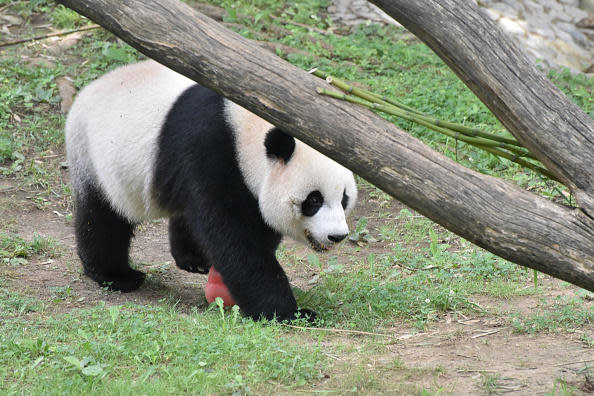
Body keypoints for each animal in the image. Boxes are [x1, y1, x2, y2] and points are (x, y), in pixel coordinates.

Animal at [67, 61, 358, 322]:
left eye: (344, 199)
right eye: (314, 200)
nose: (337, 236)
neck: (244, 132)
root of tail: (83, 94)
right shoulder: (210, 153)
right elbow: (236, 239)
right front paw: (290, 313)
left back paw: (193, 259)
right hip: (95, 158)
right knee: (103, 219)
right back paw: (116, 276)